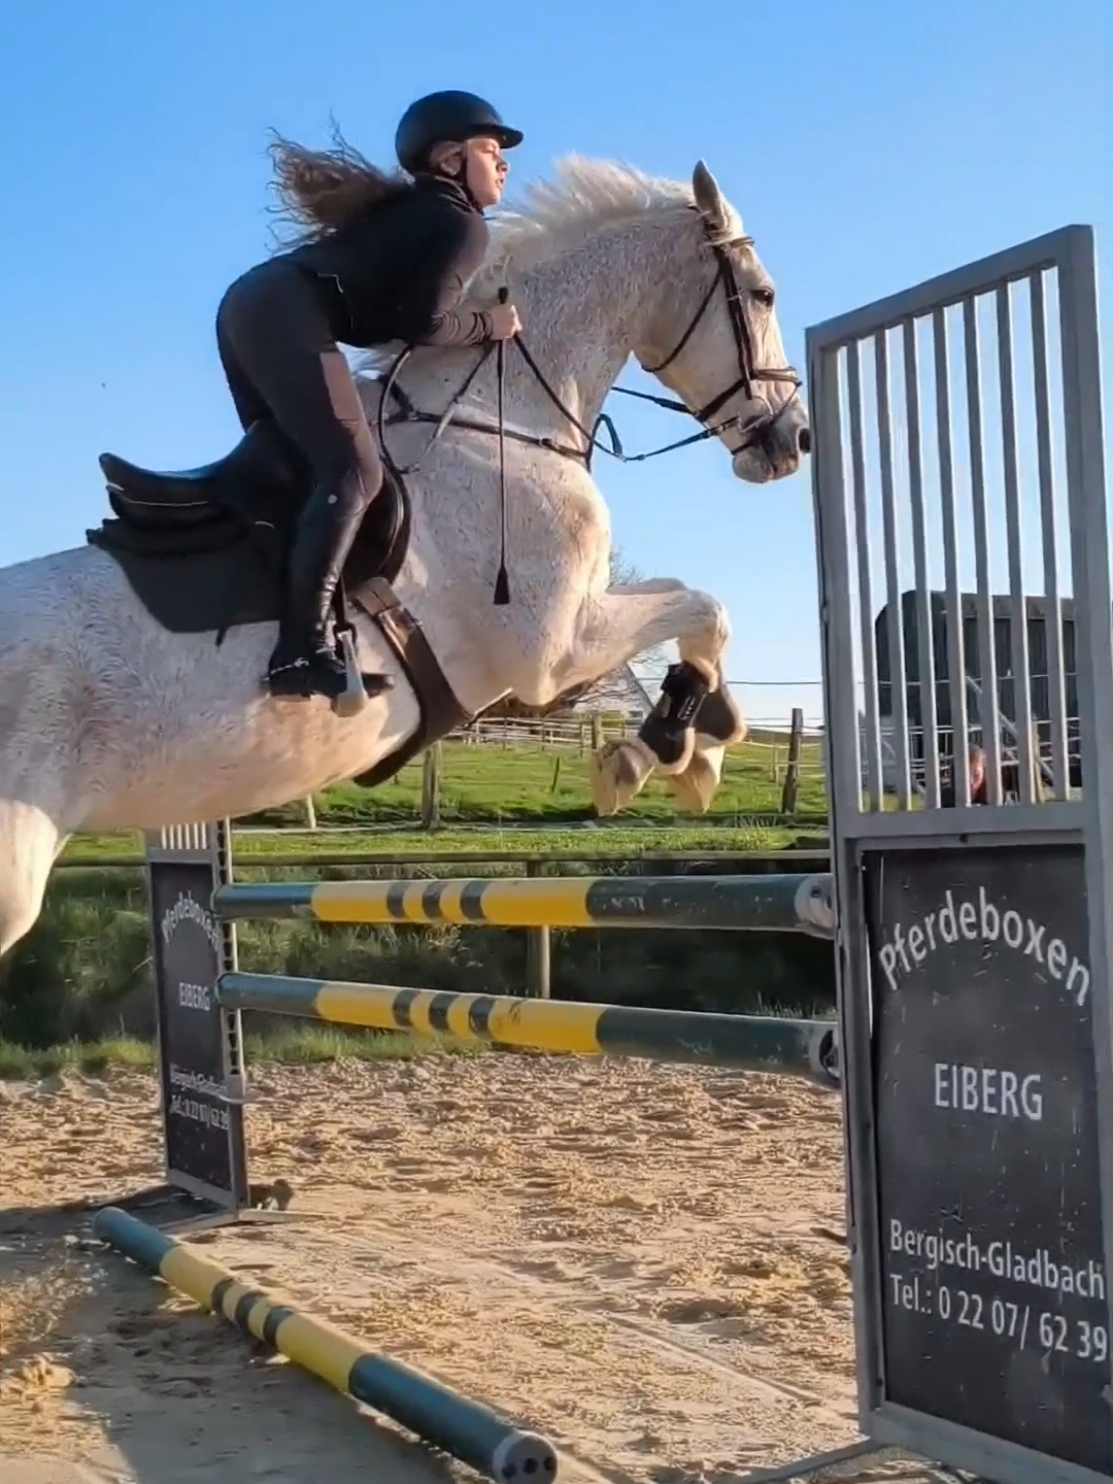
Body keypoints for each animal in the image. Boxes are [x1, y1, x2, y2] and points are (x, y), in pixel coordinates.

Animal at [0, 154, 808, 958]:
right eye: (764, 294)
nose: (794, 439)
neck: (499, 420)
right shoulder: (551, 652)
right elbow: (705, 606)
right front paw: (660, 750)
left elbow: (693, 607)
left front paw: (698, 744)